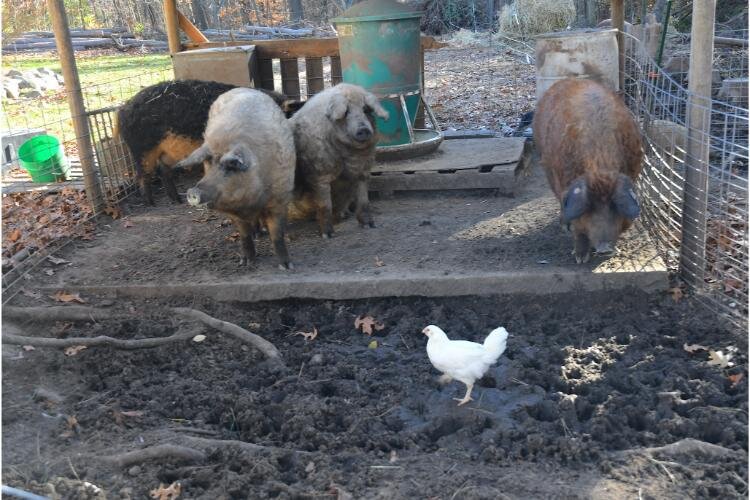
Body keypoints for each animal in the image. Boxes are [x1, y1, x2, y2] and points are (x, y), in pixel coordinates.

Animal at [115, 79, 303, 205]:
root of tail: (123, 109)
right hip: (142, 149)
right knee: (143, 175)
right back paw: (151, 203)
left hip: (165, 152)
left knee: (164, 172)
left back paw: (177, 200)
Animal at [174, 88, 296, 269]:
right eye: (208, 162)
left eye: (229, 167)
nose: (192, 191)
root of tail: (239, 89)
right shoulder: (235, 213)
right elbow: (244, 235)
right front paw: (246, 263)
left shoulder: (280, 198)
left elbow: (277, 234)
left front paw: (287, 266)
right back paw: (256, 234)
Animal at [289, 83, 388, 238]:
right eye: (346, 112)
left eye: (366, 110)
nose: (364, 129)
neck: (348, 156)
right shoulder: (319, 174)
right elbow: (325, 205)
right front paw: (327, 235)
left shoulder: (363, 172)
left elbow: (364, 201)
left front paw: (369, 226)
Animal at [533, 78, 643, 263]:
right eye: (590, 206)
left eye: (614, 205)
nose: (605, 249)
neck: (599, 165)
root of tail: (568, 79)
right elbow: (578, 229)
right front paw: (580, 259)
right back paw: (564, 227)